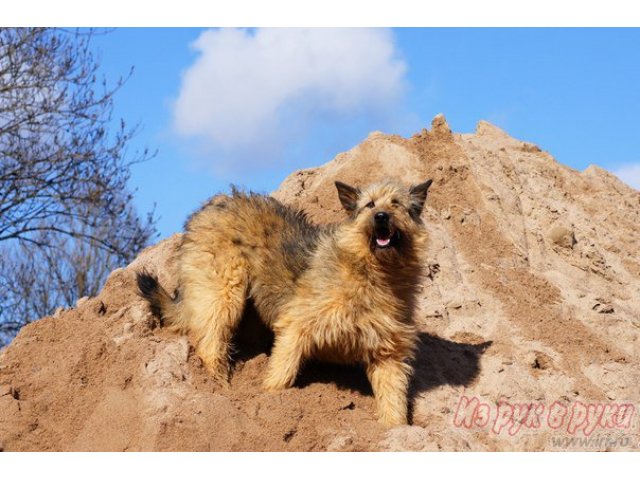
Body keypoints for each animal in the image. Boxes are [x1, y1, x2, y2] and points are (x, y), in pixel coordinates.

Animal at [137, 179, 432, 424]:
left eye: (396, 204)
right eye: (369, 205)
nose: (381, 217)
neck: (373, 274)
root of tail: (210, 207)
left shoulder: (388, 354)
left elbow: (393, 398)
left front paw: (395, 429)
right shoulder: (296, 328)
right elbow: (282, 372)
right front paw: (271, 399)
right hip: (222, 295)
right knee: (211, 342)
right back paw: (219, 388)